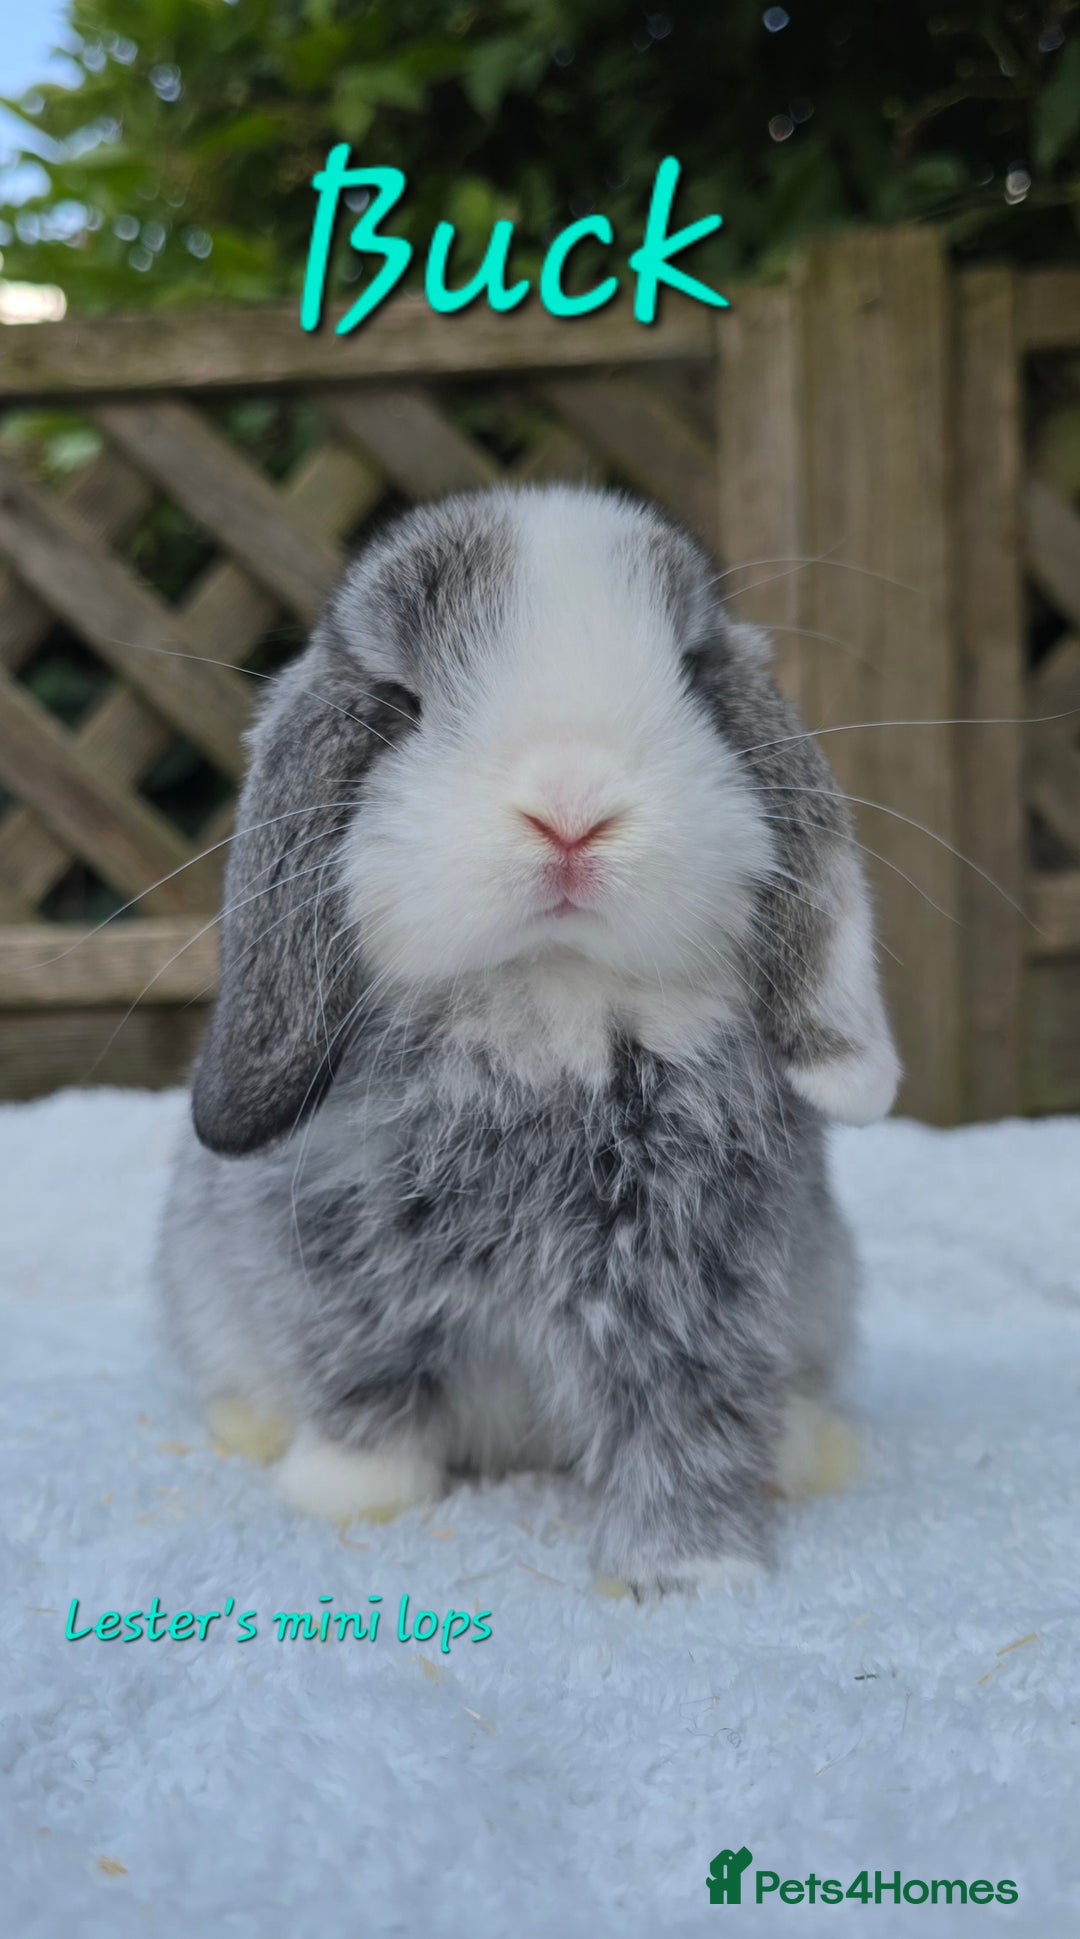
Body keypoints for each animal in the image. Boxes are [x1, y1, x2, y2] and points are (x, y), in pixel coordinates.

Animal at [155, 484, 898, 1596]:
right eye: (402, 702)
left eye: (691, 677)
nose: (571, 811)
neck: (550, 1004)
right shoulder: (345, 1274)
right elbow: (364, 1383)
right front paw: (347, 1495)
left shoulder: (699, 1293)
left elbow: (691, 1422)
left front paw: (693, 1572)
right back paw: (251, 1427)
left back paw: (814, 1453)